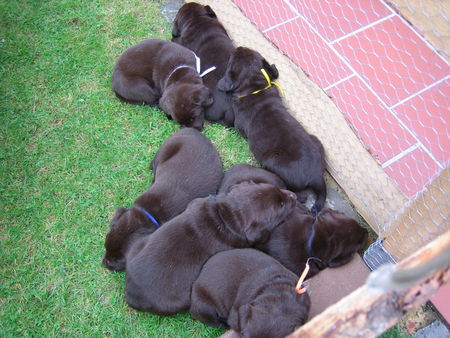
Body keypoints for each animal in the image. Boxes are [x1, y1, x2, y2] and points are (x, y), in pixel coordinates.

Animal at [101, 127, 222, 272]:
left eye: (118, 259)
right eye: (105, 245)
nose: (104, 264)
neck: (145, 214)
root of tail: (192, 130)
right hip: (167, 146)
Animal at [125, 182, 298, 316]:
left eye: (276, 189)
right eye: (281, 206)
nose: (294, 195)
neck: (226, 216)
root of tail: (131, 292)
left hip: (137, 246)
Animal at [219, 46, 326, 214]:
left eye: (232, 58)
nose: (239, 47)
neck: (255, 88)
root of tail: (316, 175)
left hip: (272, 162)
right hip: (316, 140)